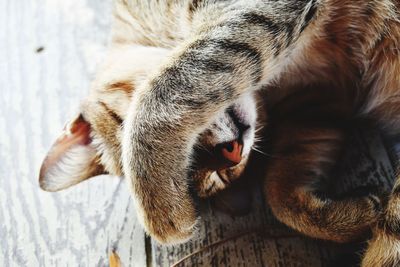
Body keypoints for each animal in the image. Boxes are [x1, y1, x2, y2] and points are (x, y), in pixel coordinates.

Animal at [38, 1, 400, 266]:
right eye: (221, 177)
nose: (233, 151)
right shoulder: (317, 106)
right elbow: (280, 196)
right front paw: (355, 215)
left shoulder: (251, 15)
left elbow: (161, 97)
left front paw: (162, 215)